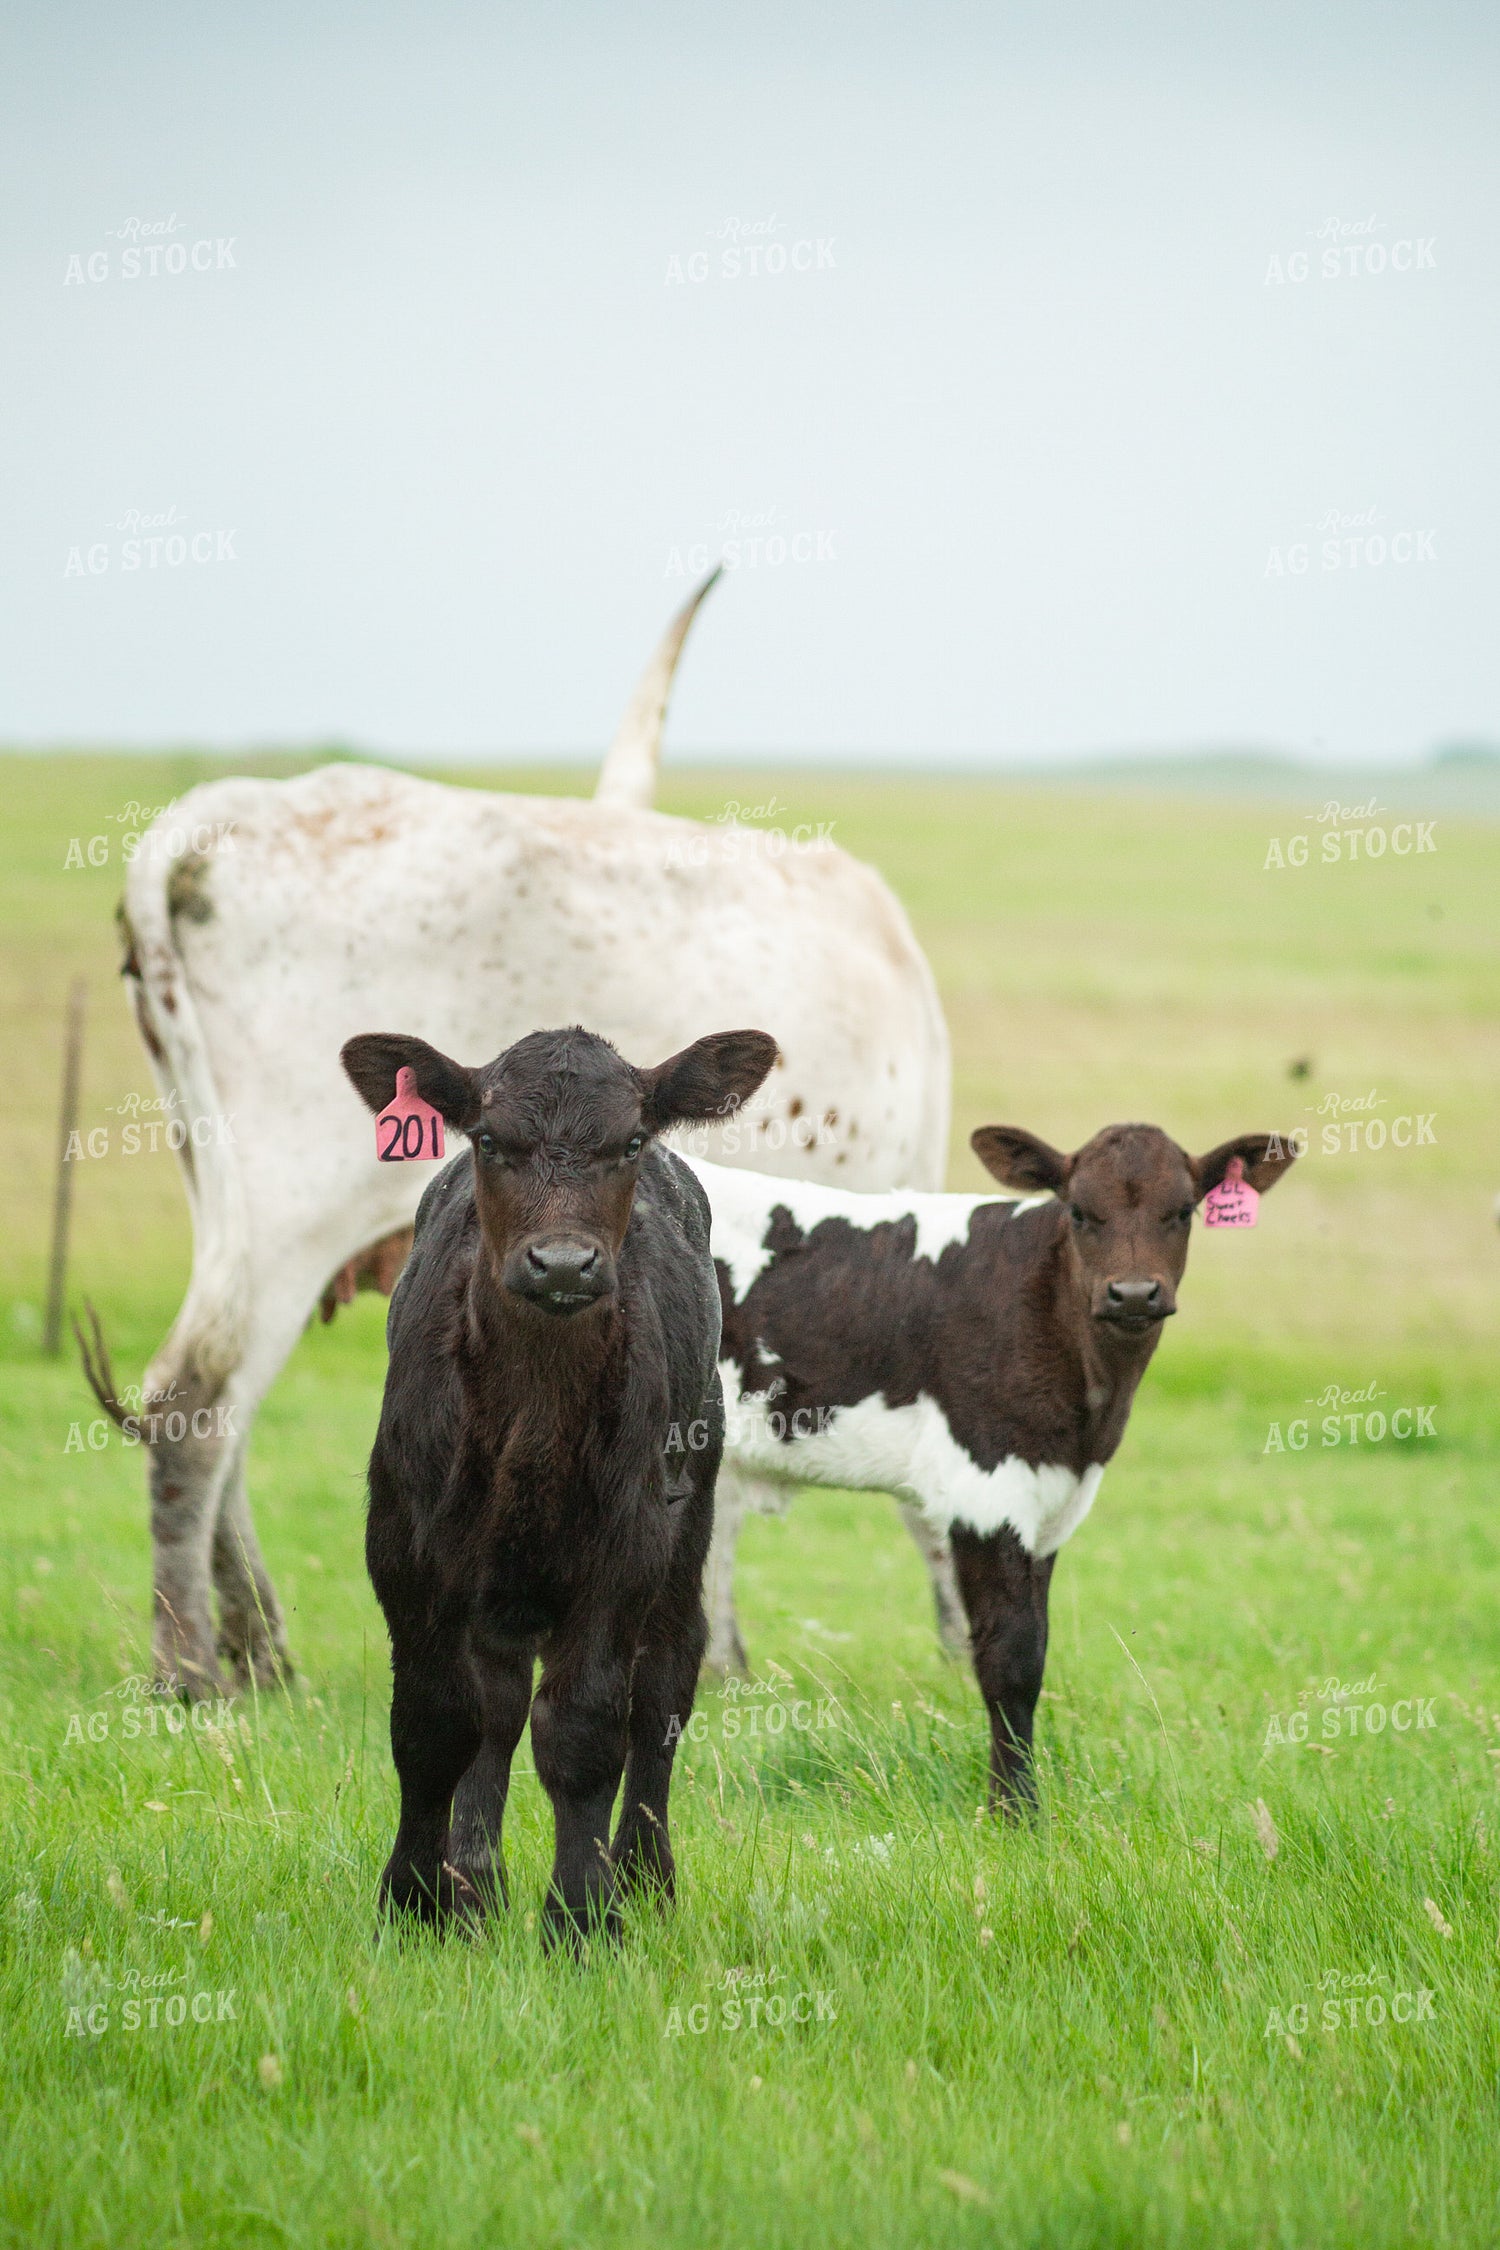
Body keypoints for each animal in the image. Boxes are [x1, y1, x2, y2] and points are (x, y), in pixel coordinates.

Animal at [84, 575, 953, 1700]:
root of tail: (206, 823)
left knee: (215, 1408)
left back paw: (259, 1646)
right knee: (199, 1392)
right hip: (290, 1205)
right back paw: (190, 1666)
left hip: (219, 1184)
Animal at [340, 1021, 778, 1941]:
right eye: (489, 1139)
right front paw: (418, 1900)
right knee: (498, 1704)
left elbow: (583, 1731)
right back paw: (476, 1882)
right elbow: (434, 1723)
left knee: (663, 1686)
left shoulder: (625, 1546)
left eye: (631, 1143)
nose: (564, 1265)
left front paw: (582, 1915)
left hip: (690, 1513)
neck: (532, 1415)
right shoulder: (402, 1544)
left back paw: (644, 1877)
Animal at [680, 1122, 1297, 1808]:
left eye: (1183, 1210)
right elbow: (1009, 1657)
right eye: (1079, 1211)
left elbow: (1037, 1643)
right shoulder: (986, 1485)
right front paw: (1015, 1808)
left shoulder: (1053, 1498)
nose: (1133, 1293)